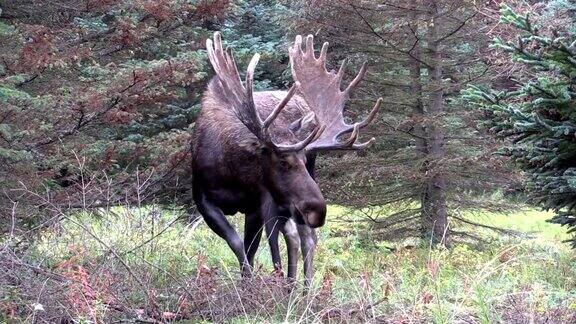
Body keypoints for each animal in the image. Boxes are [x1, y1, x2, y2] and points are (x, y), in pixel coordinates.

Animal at [192, 32, 382, 286]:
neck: (231, 171)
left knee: (303, 237)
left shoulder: (257, 205)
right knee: (293, 235)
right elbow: (238, 246)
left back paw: (303, 287)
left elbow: (251, 249)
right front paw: (248, 283)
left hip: (285, 202)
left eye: (303, 158)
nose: (318, 210)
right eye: (282, 161)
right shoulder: (203, 201)